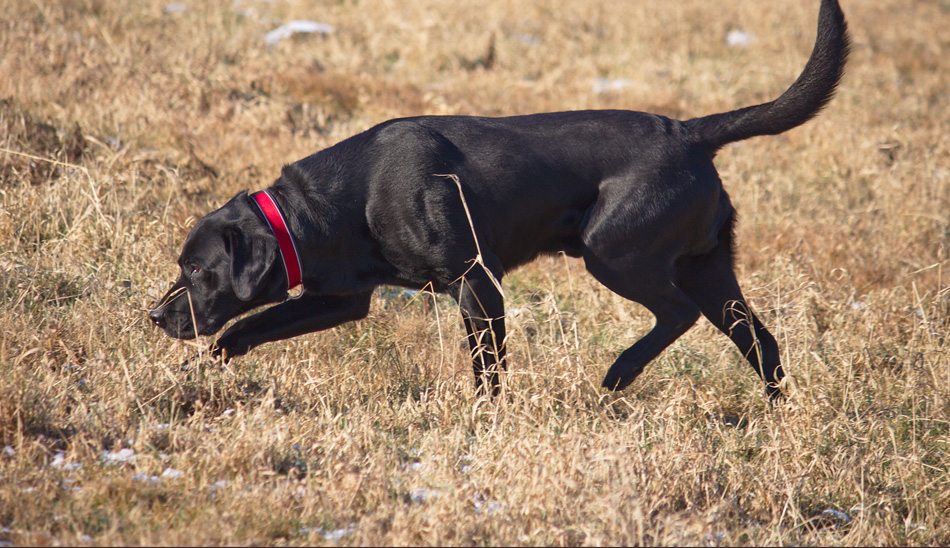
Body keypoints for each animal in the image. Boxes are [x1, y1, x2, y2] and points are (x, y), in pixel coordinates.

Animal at [152, 0, 852, 398]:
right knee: (761, 340)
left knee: (675, 314)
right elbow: (250, 325)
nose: (156, 317)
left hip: (613, 252)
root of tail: (691, 131)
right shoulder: (343, 298)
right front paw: (212, 363)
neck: (328, 207)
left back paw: (618, 375)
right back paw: (777, 419)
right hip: (709, 268)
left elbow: (488, 373)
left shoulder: (476, 285)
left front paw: (488, 421)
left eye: (197, 269)